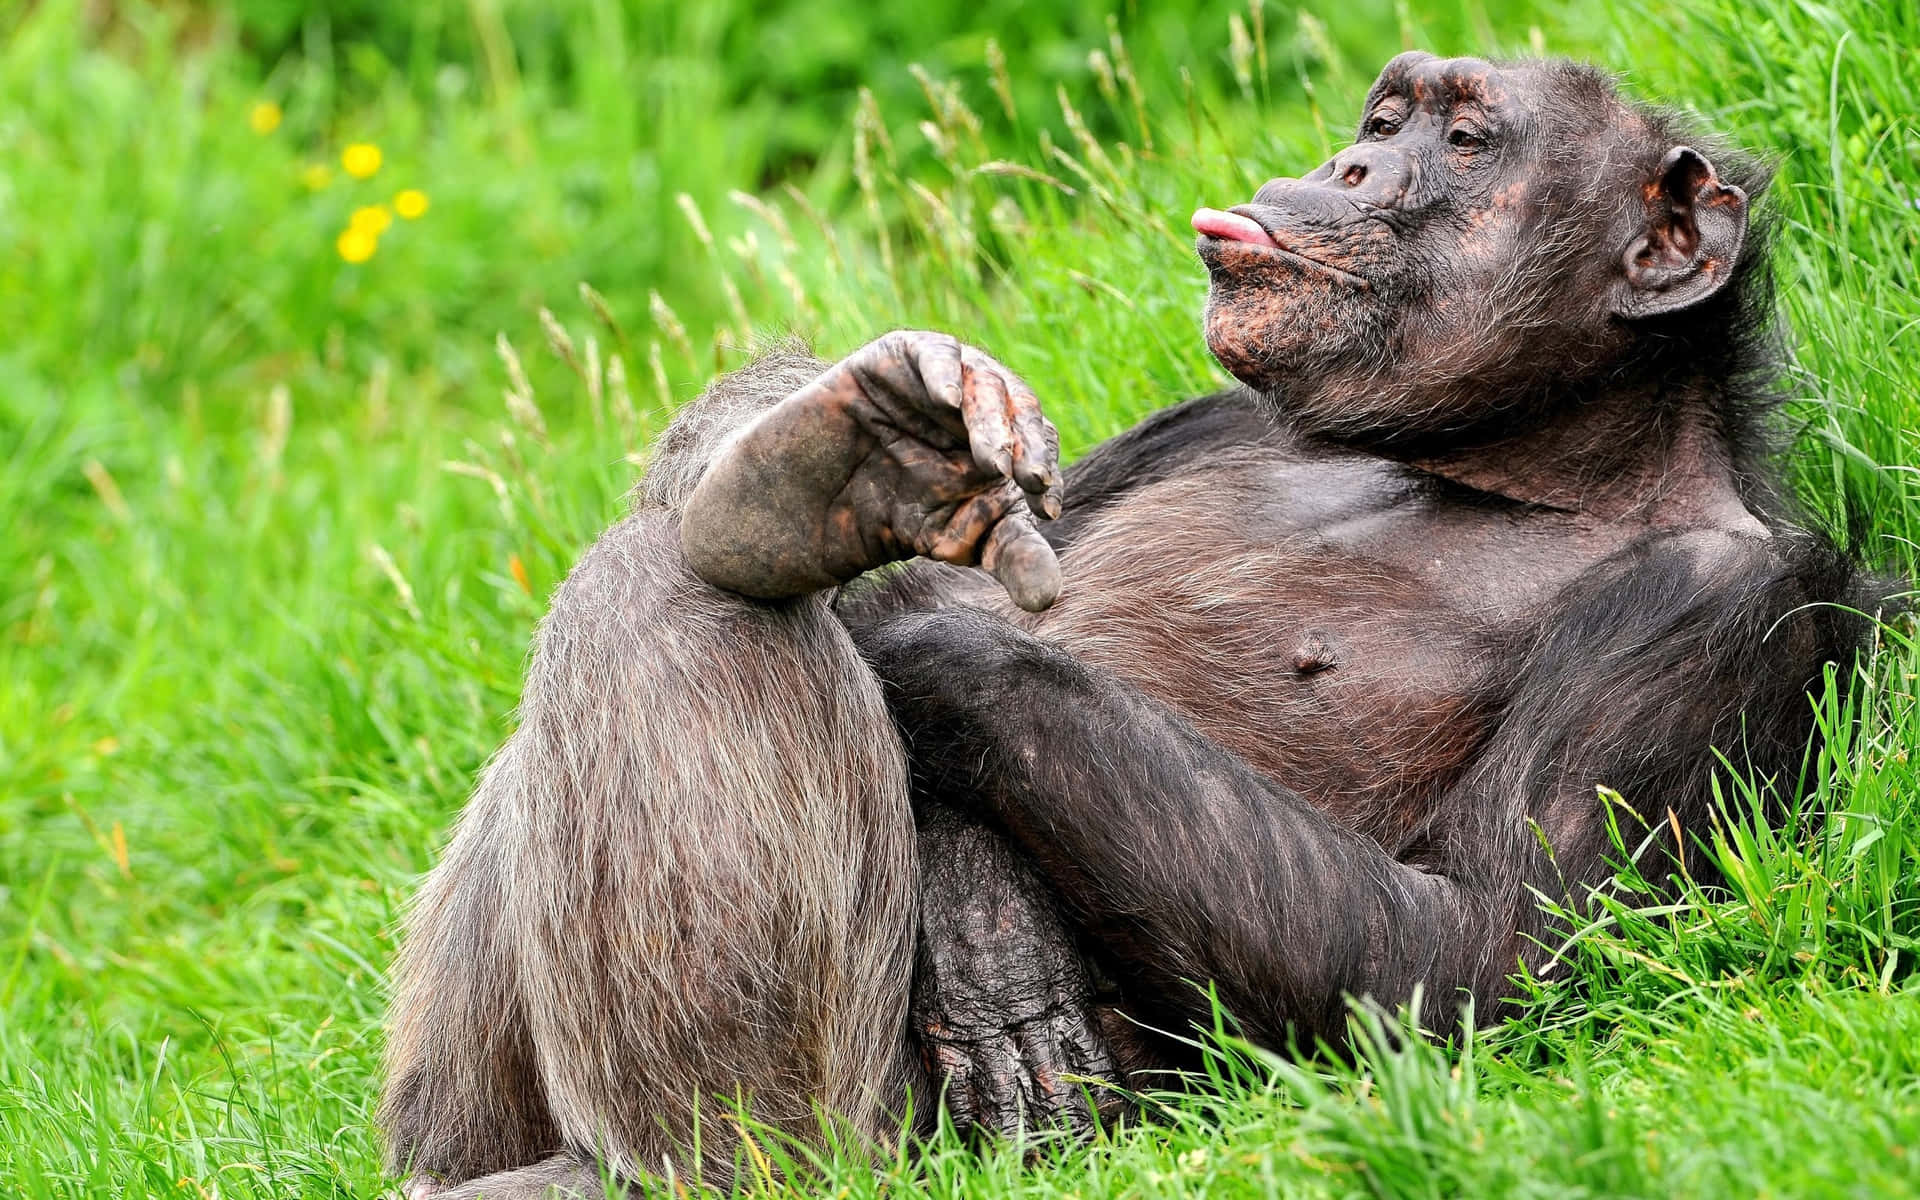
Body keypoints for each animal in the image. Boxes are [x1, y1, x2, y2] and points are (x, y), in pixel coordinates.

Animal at [382, 51, 1881, 1190]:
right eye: (1381, 123)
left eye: (1462, 143)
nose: (1347, 169)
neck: (1500, 465)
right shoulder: (1202, 418)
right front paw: (874, 449)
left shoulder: (1714, 615)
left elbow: (1472, 958)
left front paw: (938, 697)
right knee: (668, 562)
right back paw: (806, 487)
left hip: (889, 1142)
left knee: (680, 603)